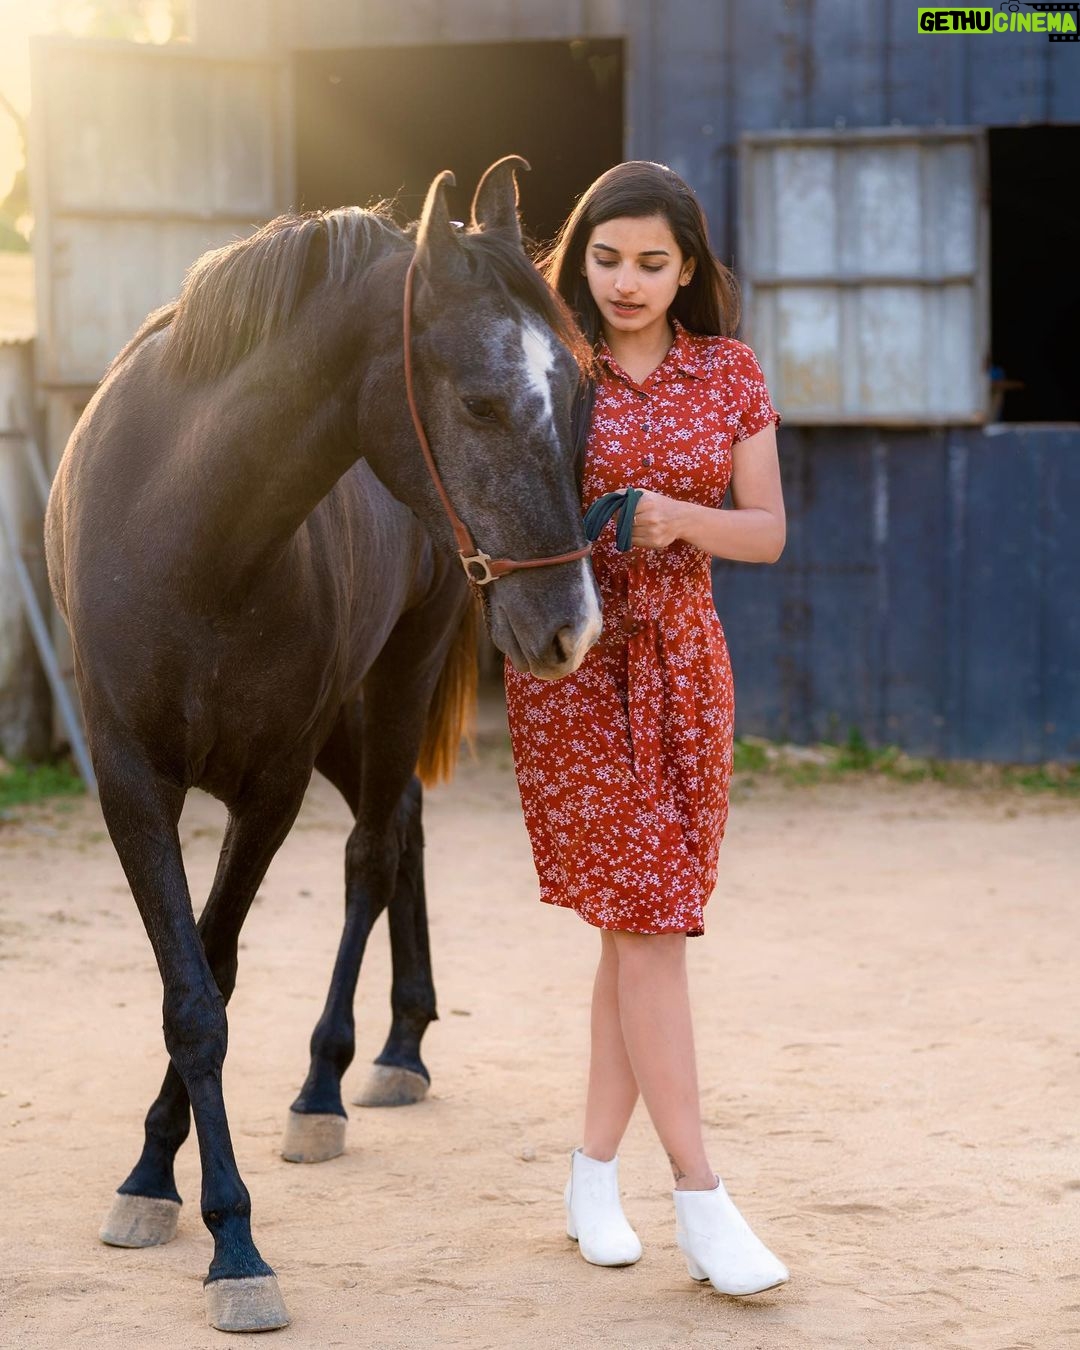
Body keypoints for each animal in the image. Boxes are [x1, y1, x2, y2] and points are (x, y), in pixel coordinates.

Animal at [44, 156, 602, 1332]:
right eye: (481, 402)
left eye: (579, 396)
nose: (572, 627)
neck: (191, 527)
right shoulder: (130, 781)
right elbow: (191, 996)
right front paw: (159, 1189)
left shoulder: (271, 785)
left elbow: (213, 976)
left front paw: (227, 1235)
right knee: (405, 831)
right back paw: (401, 1045)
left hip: (387, 691)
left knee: (373, 857)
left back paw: (327, 1084)